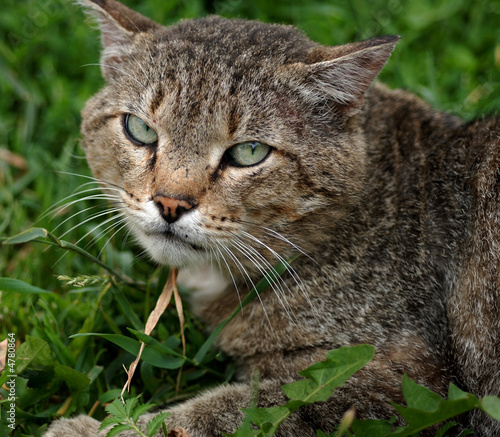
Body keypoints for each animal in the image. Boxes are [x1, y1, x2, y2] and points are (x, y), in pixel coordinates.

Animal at [45, 0, 498, 434]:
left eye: (249, 152)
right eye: (140, 129)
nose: (171, 203)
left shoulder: (406, 380)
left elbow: (230, 411)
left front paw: (101, 429)